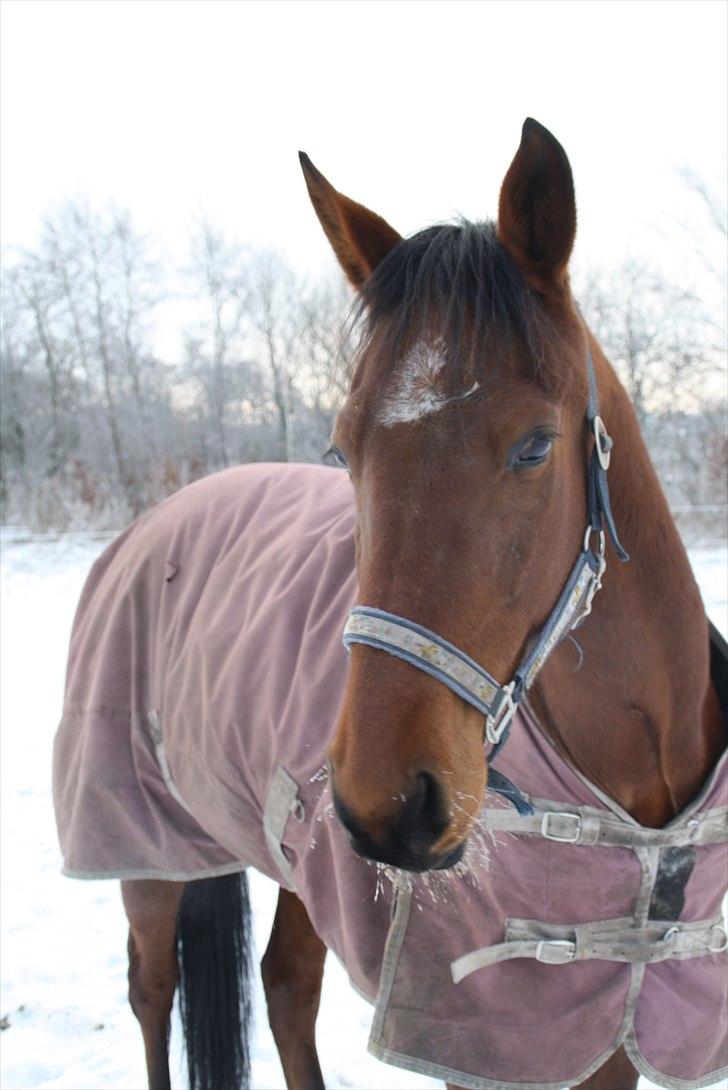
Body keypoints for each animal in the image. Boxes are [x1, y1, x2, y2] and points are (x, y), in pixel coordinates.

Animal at [53, 119, 723, 1090]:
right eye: (343, 448)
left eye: (536, 446)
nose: (390, 802)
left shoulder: (601, 1046)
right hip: (148, 850)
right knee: (151, 992)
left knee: (287, 987)